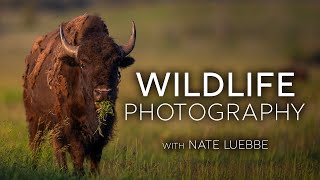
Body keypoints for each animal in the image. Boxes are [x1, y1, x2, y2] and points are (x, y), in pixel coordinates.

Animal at [22, 14, 136, 174]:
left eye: (116, 62)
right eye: (83, 64)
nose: (103, 92)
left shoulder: (103, 128)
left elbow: (95, 156)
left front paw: (94, 174)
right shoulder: (71, 125)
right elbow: (77, 152)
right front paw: (78, 173)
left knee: (57, 146)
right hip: (34, 118)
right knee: (36, 144)